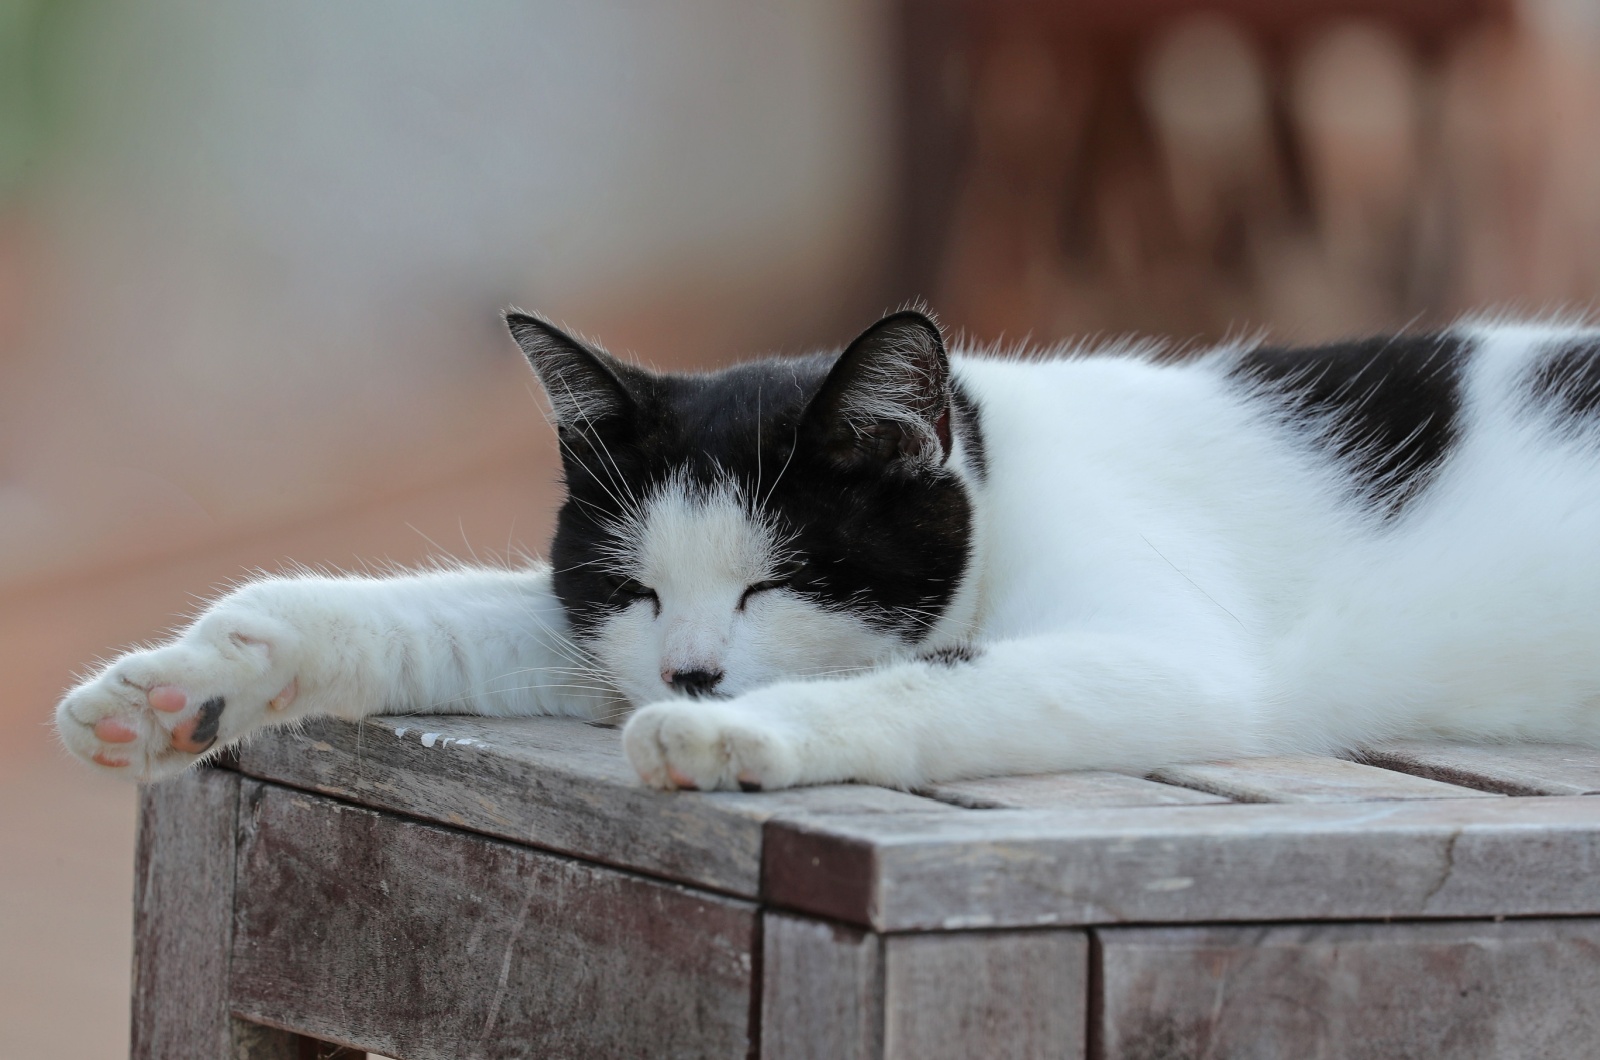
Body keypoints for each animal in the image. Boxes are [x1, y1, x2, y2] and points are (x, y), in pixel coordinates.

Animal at [53, 312, 1600, 794]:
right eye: (635, 590)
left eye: (777, 582)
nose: (691, 674)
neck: (1005, 480)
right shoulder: (594, 640)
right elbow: (440, 616)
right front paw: (182, 680)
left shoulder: (1175, 656)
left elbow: (937, 684)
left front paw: (738, 739)